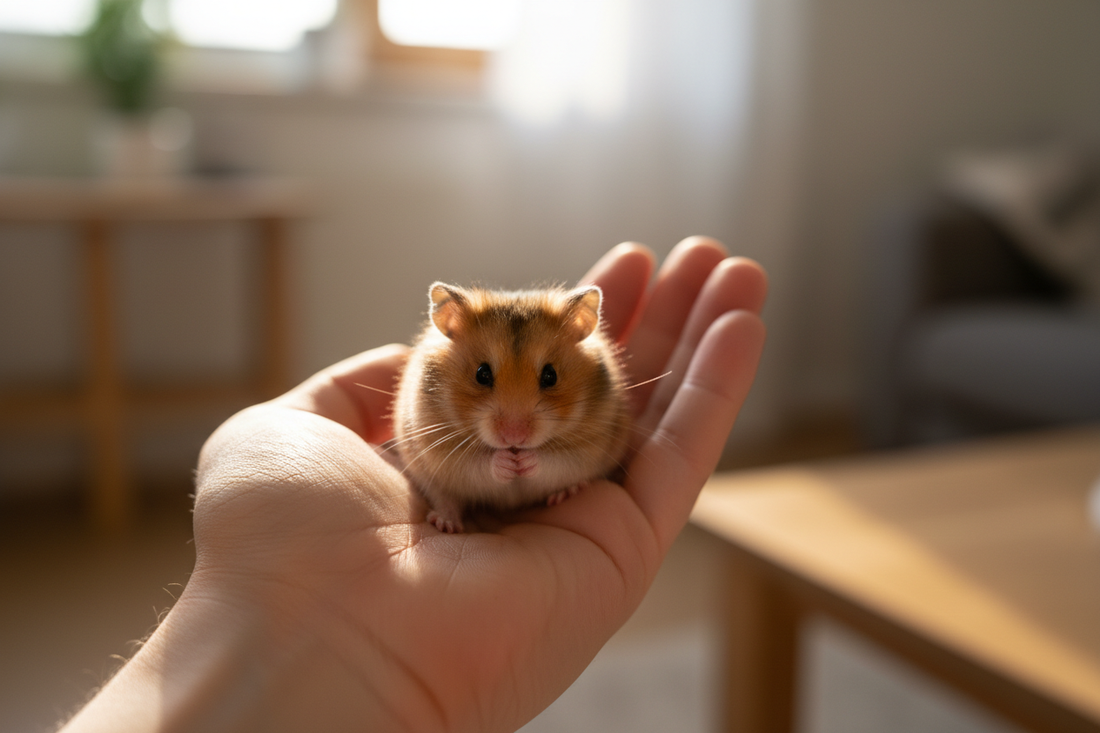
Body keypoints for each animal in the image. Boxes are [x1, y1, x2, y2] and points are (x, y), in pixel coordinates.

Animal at [392, 282, 631, 533]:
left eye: (551, 375)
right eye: (482, 373)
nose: (514, 437)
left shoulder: (589, 446)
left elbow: (553, 461)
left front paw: (524, 462)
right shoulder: (441, 450)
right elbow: (478, 464)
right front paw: (507, 463)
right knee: (445, 498)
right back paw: (446, 524)